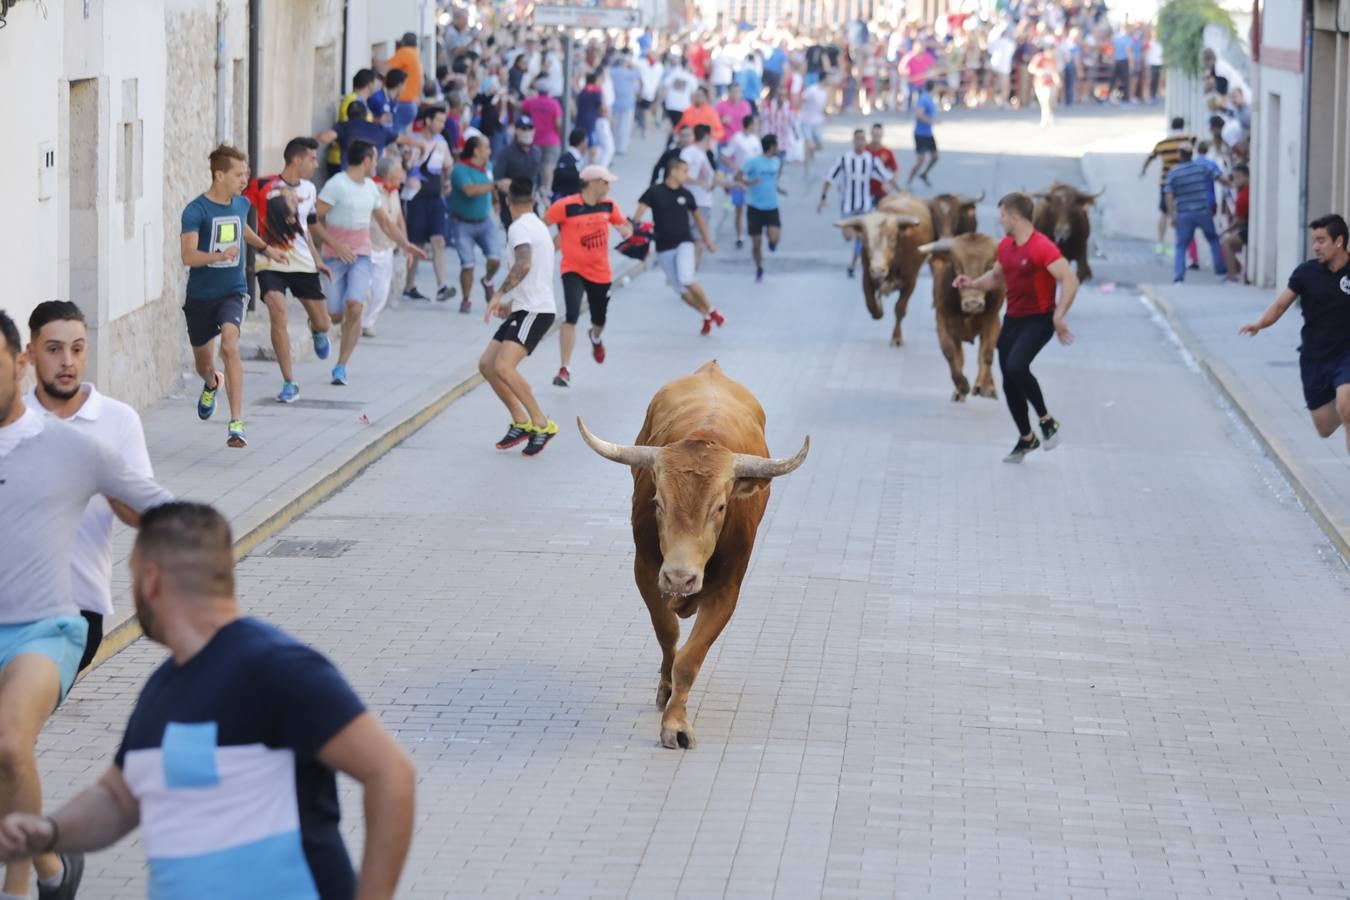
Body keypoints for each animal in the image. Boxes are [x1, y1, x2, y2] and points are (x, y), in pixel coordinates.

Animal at [575, 361, 804, 750]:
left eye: (721, 506)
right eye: (658, 502)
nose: (680, 578)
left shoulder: (726, 591)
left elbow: (689, 659)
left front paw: (676, 724)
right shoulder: (646, 572)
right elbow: (668, 634)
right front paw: (667, 694)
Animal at [831, 191, 928, 348]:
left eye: (892, 239)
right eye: (865, 240)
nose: (878, 269)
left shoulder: (911, 280)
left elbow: (900, 308)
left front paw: (896, 337)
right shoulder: (867, 275)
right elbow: (870, 302)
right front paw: (878, 311)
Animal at [923, 232, 1009, 402]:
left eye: (989, 267)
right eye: (957, 268)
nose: (973, 303)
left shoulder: (992, 321)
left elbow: (986, 354)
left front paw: (981, 386)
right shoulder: (942, 322)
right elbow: (951, 353)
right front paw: (962, 385)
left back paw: (987, 388)